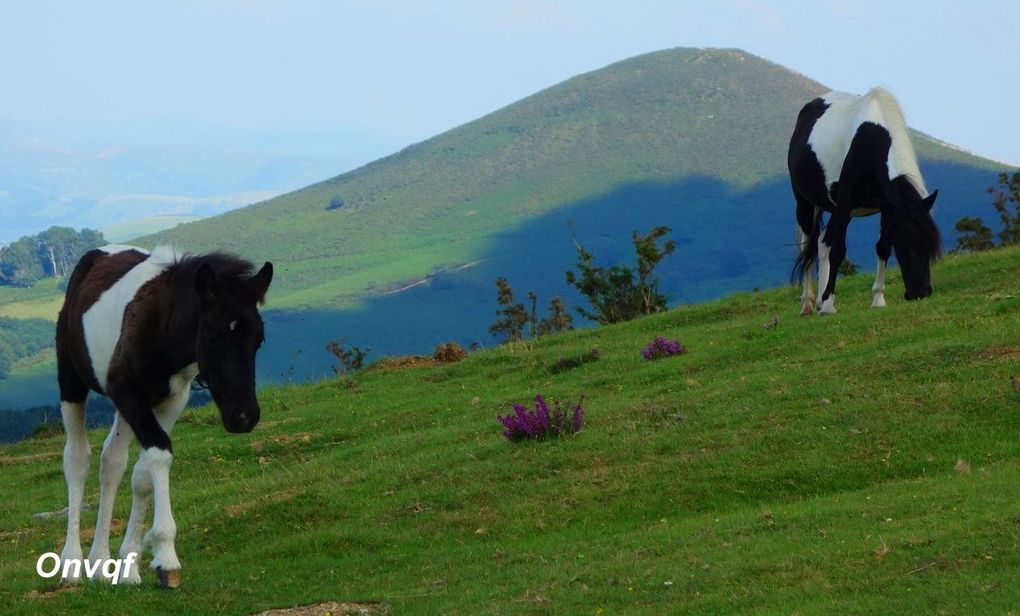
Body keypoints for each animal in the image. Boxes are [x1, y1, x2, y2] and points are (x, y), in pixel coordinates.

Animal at [54, 242, 271, 583]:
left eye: (258, 339)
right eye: (212, 337)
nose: (244, 416)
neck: (160, 325)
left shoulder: (171, 399)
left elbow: (143, 472)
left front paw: (130, 565)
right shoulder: (126, 390)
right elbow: (159, 456)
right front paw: (167, 557)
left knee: (112, 460)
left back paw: (100, 562)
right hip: (72, 381)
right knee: (77, 458)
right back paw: (72, 560)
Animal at [787, 86, 938, 316]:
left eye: (929, 243)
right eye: (903, 243)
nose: (919, 292)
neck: (871, 141)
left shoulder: (886, 208)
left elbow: (882, 248)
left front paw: (878, 298)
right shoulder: (845, 204)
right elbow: (838, 251)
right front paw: (829, 305)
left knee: (822, 241)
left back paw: (820, 299)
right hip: (805, 204)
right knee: (807, 248)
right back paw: (808, 303)